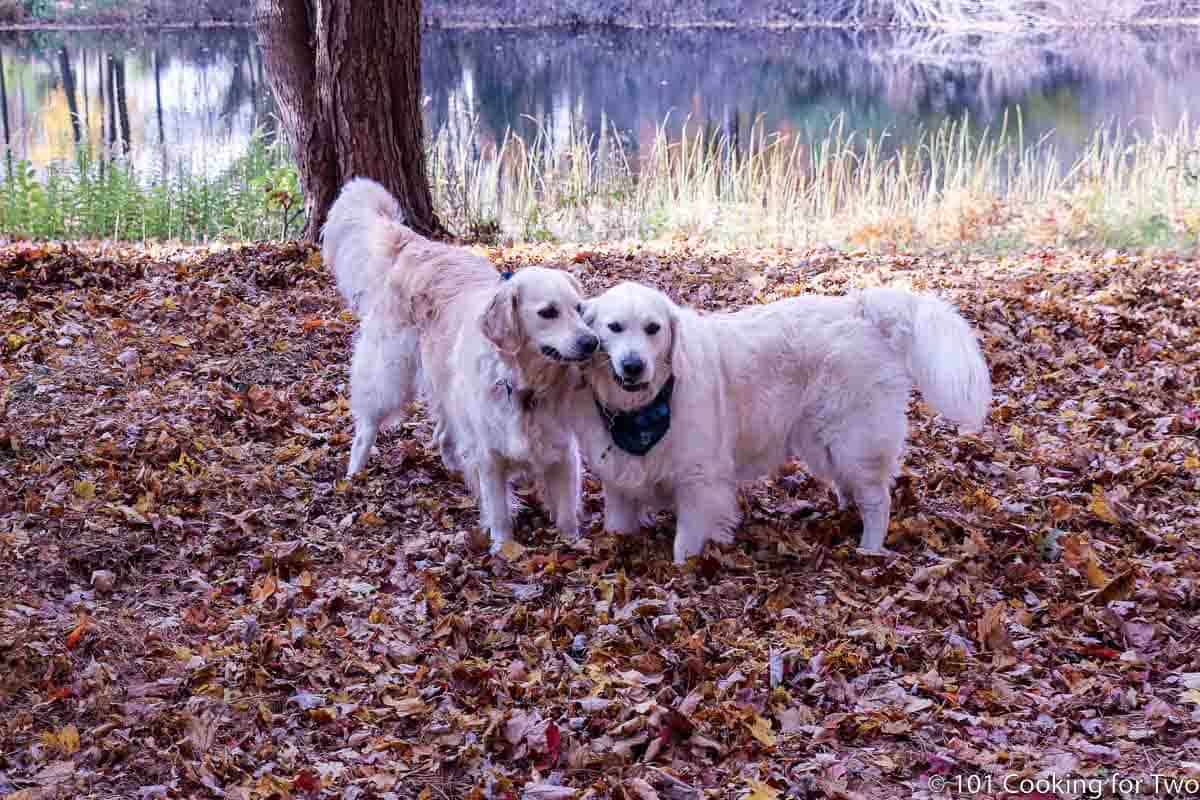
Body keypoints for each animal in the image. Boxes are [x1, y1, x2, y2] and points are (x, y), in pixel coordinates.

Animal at [321, 176, 597, 551]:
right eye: (548, 312)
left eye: (579, 309)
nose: (591, 342)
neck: (523, 386)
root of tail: (415, 245)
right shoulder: (491, 455)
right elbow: (499, 511)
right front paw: (503, 550)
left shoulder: (563, 451)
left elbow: (567, 511)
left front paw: (572, 544)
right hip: (390, 372)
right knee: (367, 425)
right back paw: (354, 473)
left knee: (443, 433)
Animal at [571, 281, 993, 563]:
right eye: (613, 327)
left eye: (653, 328)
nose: (632, 365)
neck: (641, 409)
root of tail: (861, 308)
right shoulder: (620, 479)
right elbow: (618, 525)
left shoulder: (698, 480)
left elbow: (685, 542)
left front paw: (683, 571)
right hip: (823, 442)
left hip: (856, 439)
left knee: (878, 500)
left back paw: (869, 549)